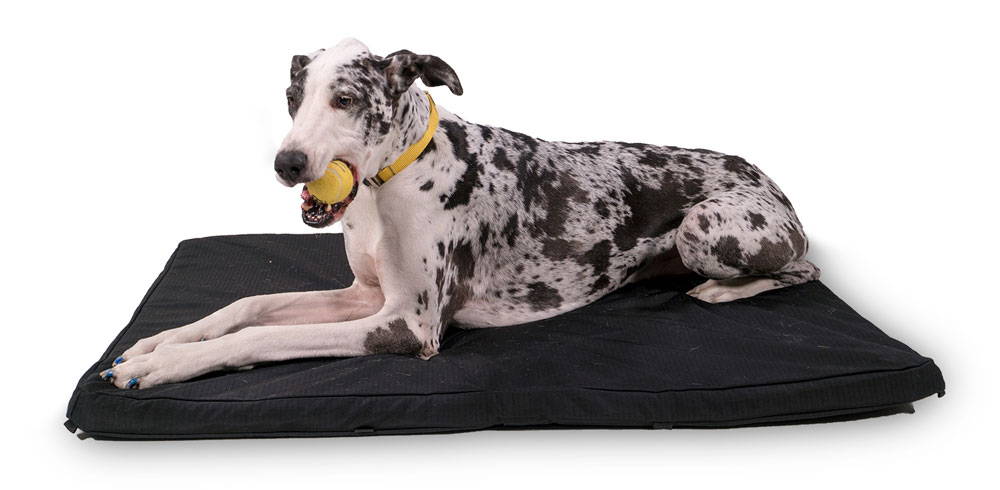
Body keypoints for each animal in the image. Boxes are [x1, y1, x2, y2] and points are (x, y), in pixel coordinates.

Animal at [101, 38, 820, 388]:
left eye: (344, 99)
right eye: (292, 96)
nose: (287, 164)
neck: (391, 182)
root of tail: (771, 181)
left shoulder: (408, 325)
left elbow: (260, 338)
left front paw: (161, 367)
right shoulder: (363, 296)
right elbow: (247, 306)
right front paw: (161, 341)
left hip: (709, 229)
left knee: (803, 272)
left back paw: (723, 292)